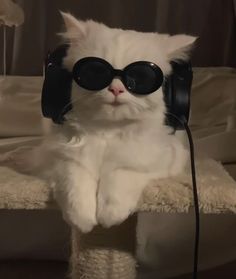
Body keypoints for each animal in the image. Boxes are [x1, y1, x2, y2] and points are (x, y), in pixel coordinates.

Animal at [4, 12, 195, 233]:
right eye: (95, 72)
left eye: (140, 77)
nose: (116, 89)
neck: (107, 131)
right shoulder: (59, 158)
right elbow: (74, 181)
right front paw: (82, 218)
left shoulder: (164, 158)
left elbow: (121, 175)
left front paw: (109, 214)